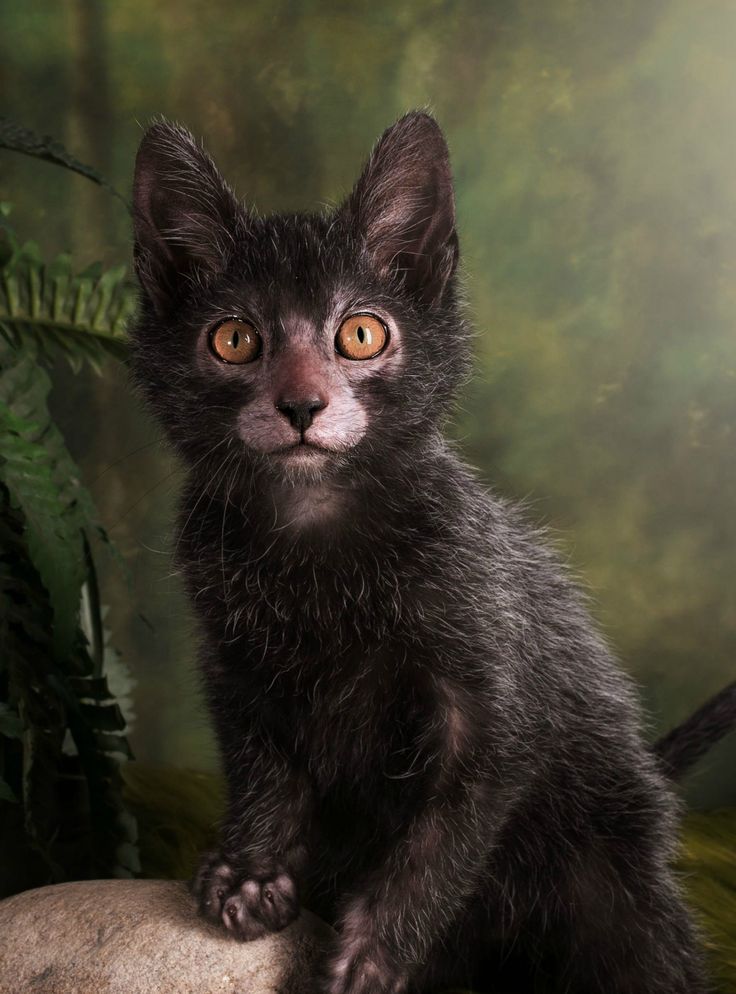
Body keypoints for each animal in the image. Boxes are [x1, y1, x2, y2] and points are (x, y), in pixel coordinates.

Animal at [131, 112, 712, 988]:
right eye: (234, 340)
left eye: (361, 333)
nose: (301, 405)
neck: (316, 537)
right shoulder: (234, 666)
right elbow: (261, 770)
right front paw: (252, 871)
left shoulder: (492, 699)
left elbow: (443, 841)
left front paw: (372, 951)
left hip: (612, 880)